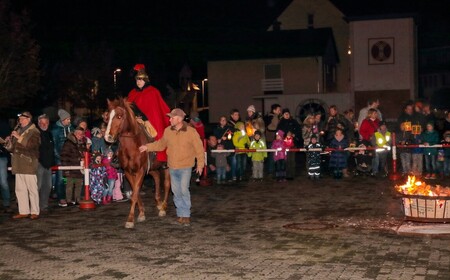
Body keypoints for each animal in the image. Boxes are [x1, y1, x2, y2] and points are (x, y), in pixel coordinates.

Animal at [104, 97, 171, 229]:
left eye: (119, 116)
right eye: (107, 116)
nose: (108, 137)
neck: (132, 145)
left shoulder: (140, 171)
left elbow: (135, 194)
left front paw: (130, 220)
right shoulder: (129, 172)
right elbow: (136, 191)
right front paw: (141, 213)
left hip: (166, 167)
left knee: (166, 184)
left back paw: (163, 207)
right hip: (152, 168)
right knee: (156, 177)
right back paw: (158, 202)